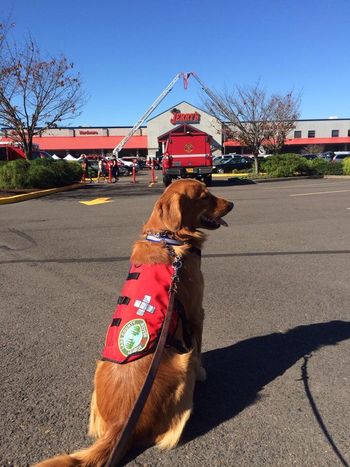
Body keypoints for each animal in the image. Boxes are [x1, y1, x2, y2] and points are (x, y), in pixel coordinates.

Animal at [36, 177, 232, 466]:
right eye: (205, 196)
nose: (232, 204)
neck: (168, 238)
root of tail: (121, 424)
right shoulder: (197, 312)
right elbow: (198, 350)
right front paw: (203, 373)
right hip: (181, 366)